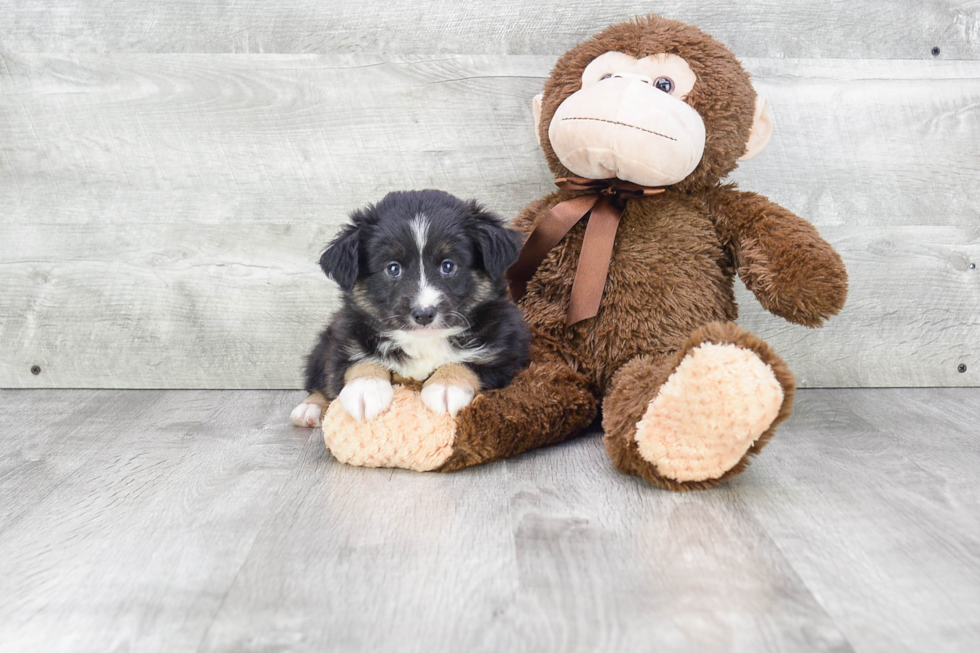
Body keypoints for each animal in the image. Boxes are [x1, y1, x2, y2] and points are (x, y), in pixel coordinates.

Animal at [290, 187, 532, 428]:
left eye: (448, 265)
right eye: (393, 268)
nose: (424, 314)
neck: (423, 341)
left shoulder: (506, 352)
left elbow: (468, 362)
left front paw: (446, 387)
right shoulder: (345, 340)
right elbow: (359, 360)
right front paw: (366, 390)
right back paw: (309, 409)